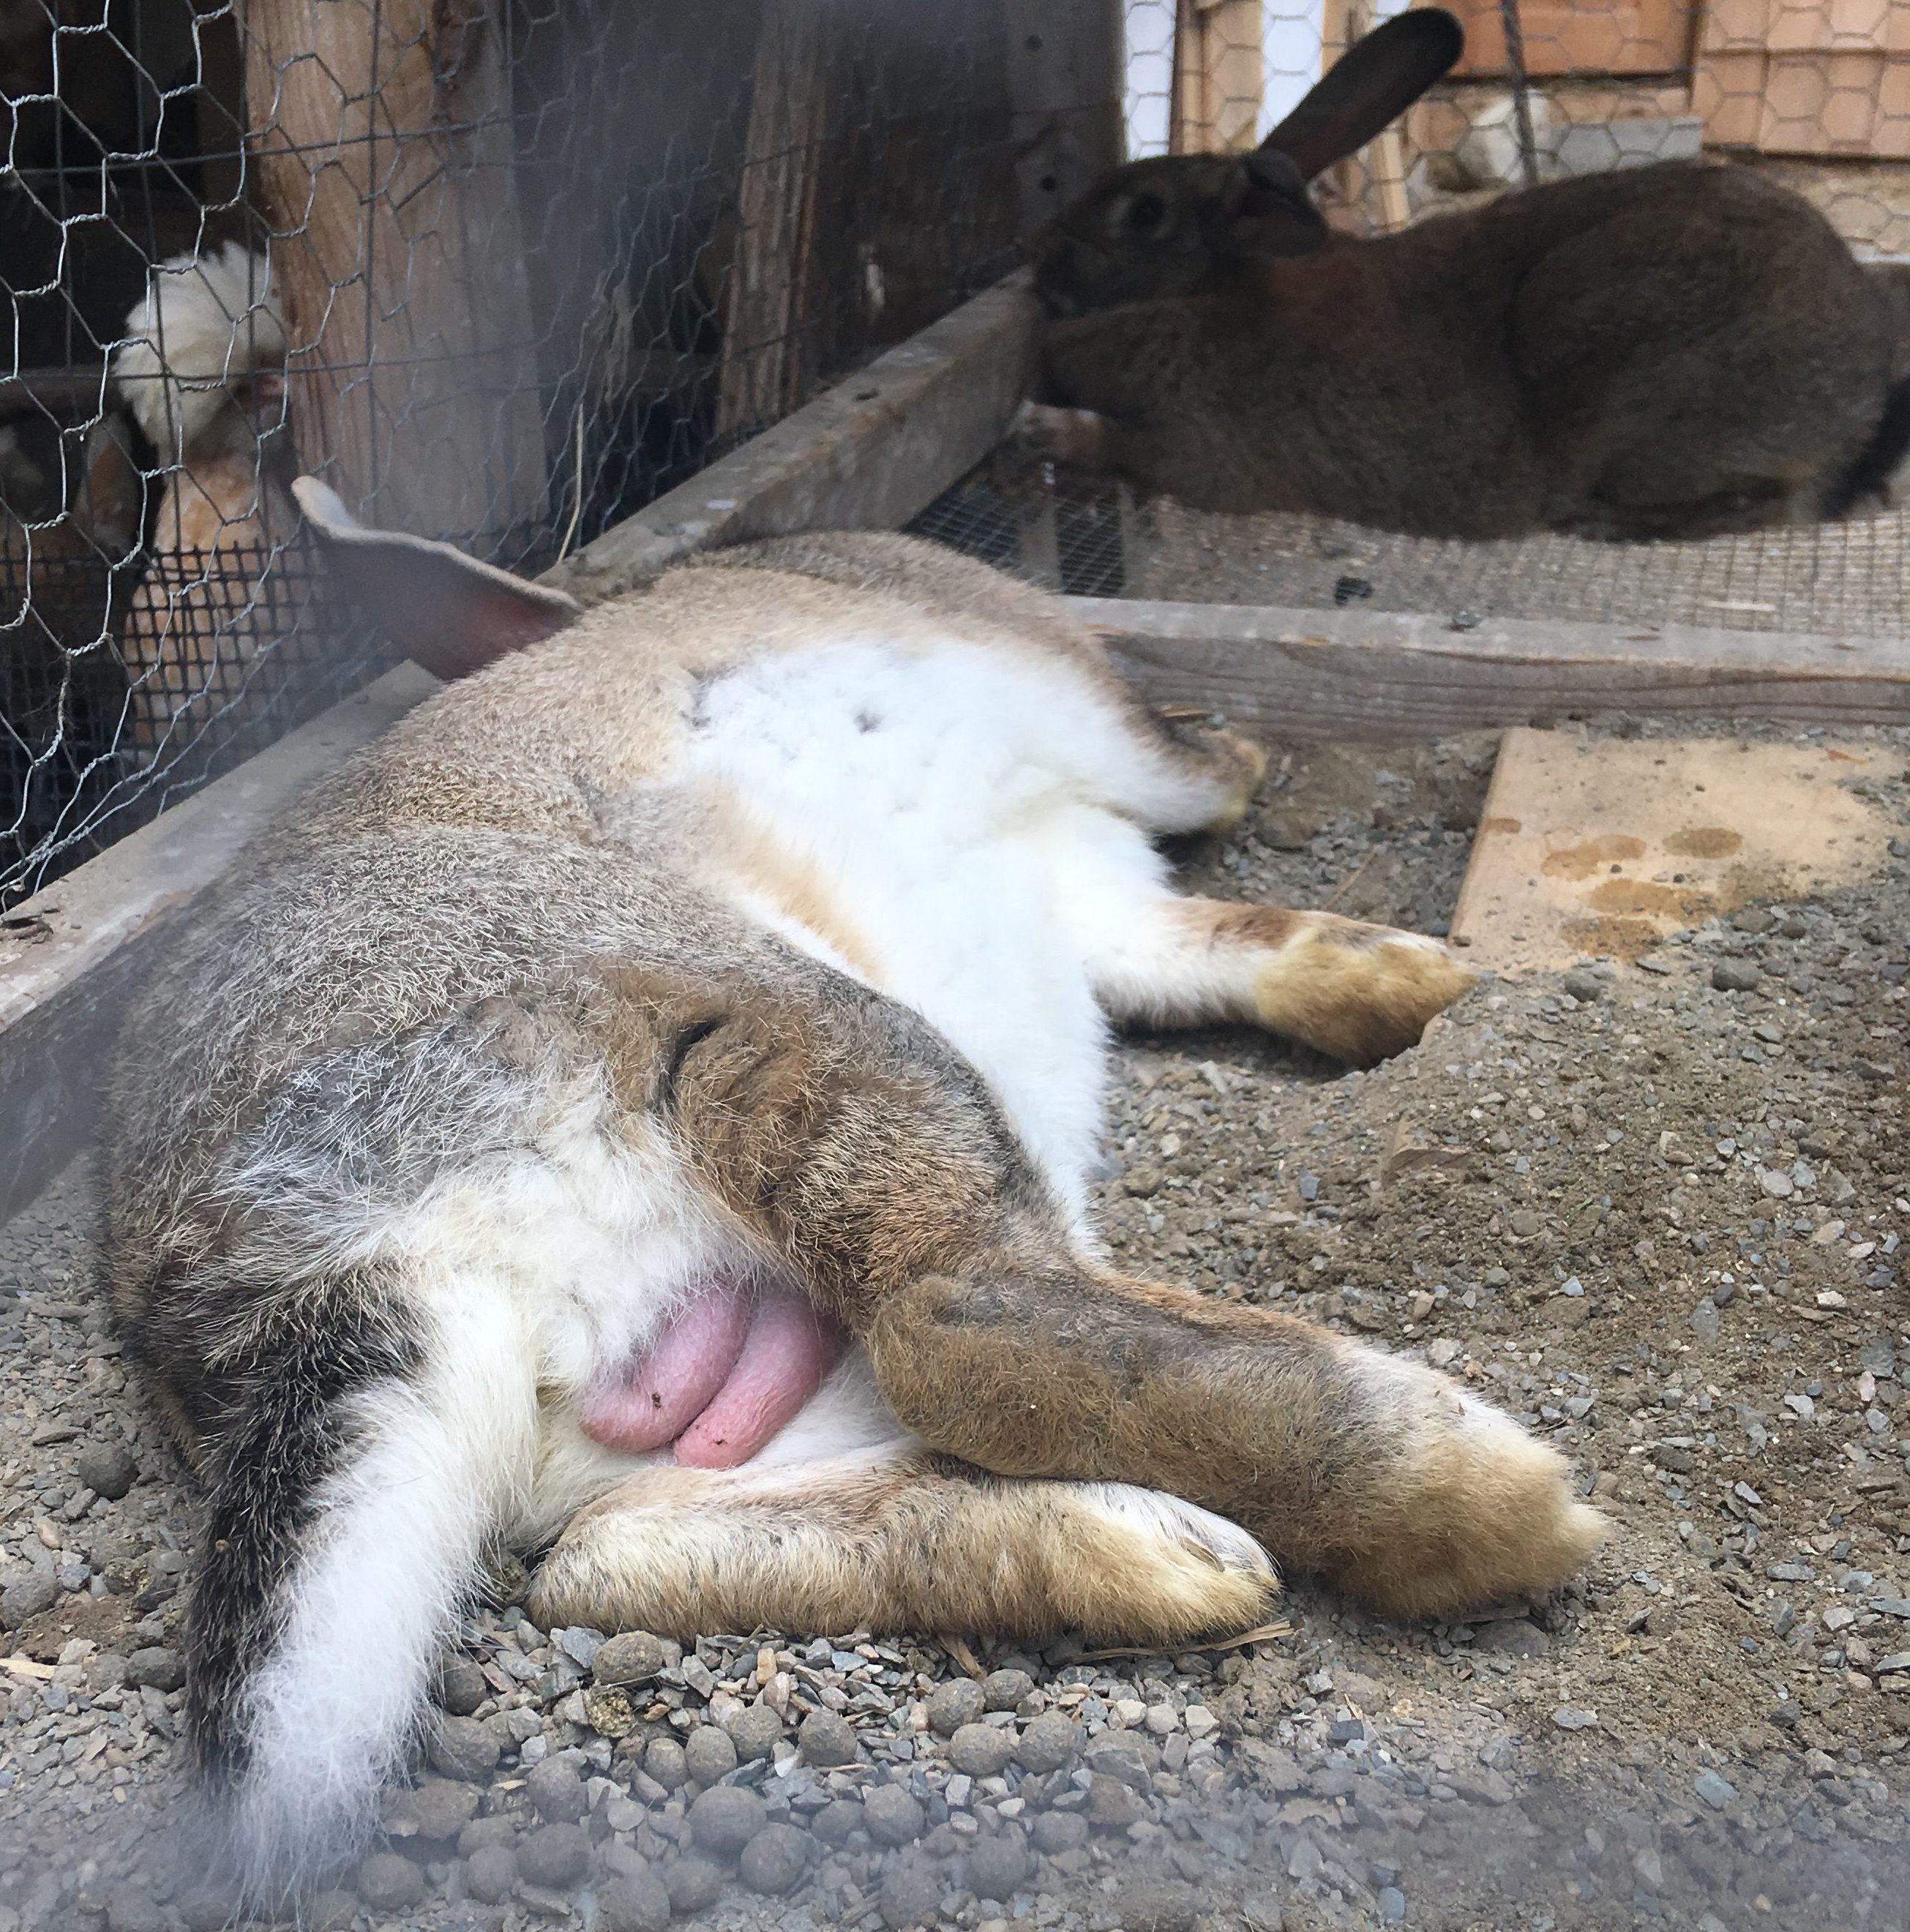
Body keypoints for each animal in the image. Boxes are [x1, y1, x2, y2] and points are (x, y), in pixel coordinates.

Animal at [105, 479, 1605, 1899]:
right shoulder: (1072, 724)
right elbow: (1200, 824)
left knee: (603, 1555)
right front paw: (1338, 873)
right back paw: (1480, 1504)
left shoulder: (1088, 893)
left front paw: (1409, 986)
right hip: (763, 1031)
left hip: (686, 1406)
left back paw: (1167, 1559)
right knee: (961, 1319)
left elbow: (1213, 945)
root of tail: (347, 1277)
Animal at [1019, 8, 1908, 543]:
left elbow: (1127, 447)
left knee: (1767, 504)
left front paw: (1049, 429)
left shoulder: (1206, 448)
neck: (1216, 289)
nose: (1045, 257)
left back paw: (1597, 522)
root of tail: (1862, 393)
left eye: (1143, 215)